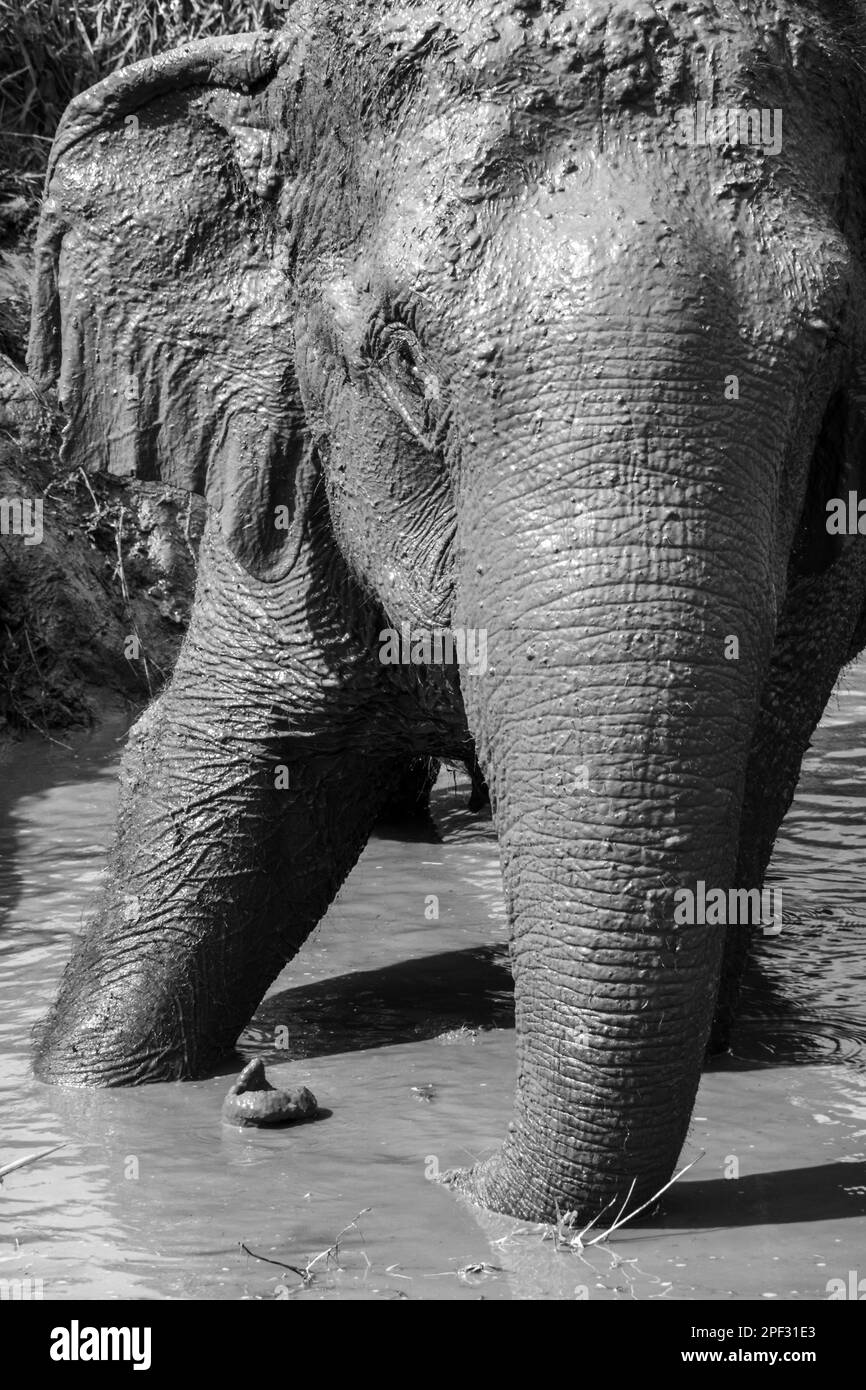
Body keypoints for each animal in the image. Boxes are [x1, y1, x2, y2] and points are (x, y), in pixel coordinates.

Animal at [26, 0, 866, 1223]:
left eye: (831, 358)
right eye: (400, 355)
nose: (269, 1089)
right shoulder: (283, 477)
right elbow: (232, 772)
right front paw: (90, 1079)